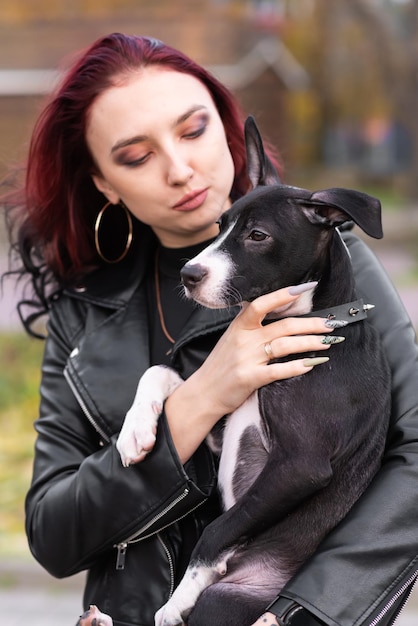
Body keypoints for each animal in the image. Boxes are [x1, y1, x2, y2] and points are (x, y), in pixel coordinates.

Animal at [116, 116, 392, 624]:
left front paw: (179, 597)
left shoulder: (300, 465)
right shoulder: (220, 425)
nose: (188, 275)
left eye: (258, 236)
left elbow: (219, 529)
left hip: (230, 599)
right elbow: (160, 373)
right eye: (220, 225)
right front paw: (135, 433)